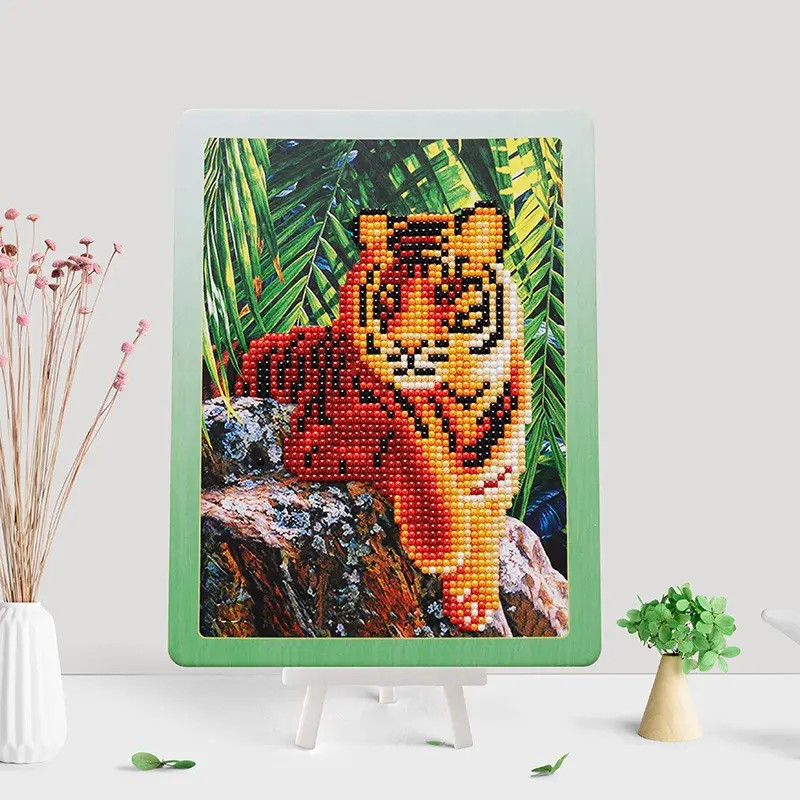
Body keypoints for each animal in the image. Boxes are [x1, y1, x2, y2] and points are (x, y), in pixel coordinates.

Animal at [234, 203, 532, 633]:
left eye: (446, 290)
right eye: (390, 294)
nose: (408, 349)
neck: (464, 396)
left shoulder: (496, 479)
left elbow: (487, 530)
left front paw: (472, 600)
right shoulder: (317, 435)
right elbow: (405, 443)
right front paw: (439, 542)